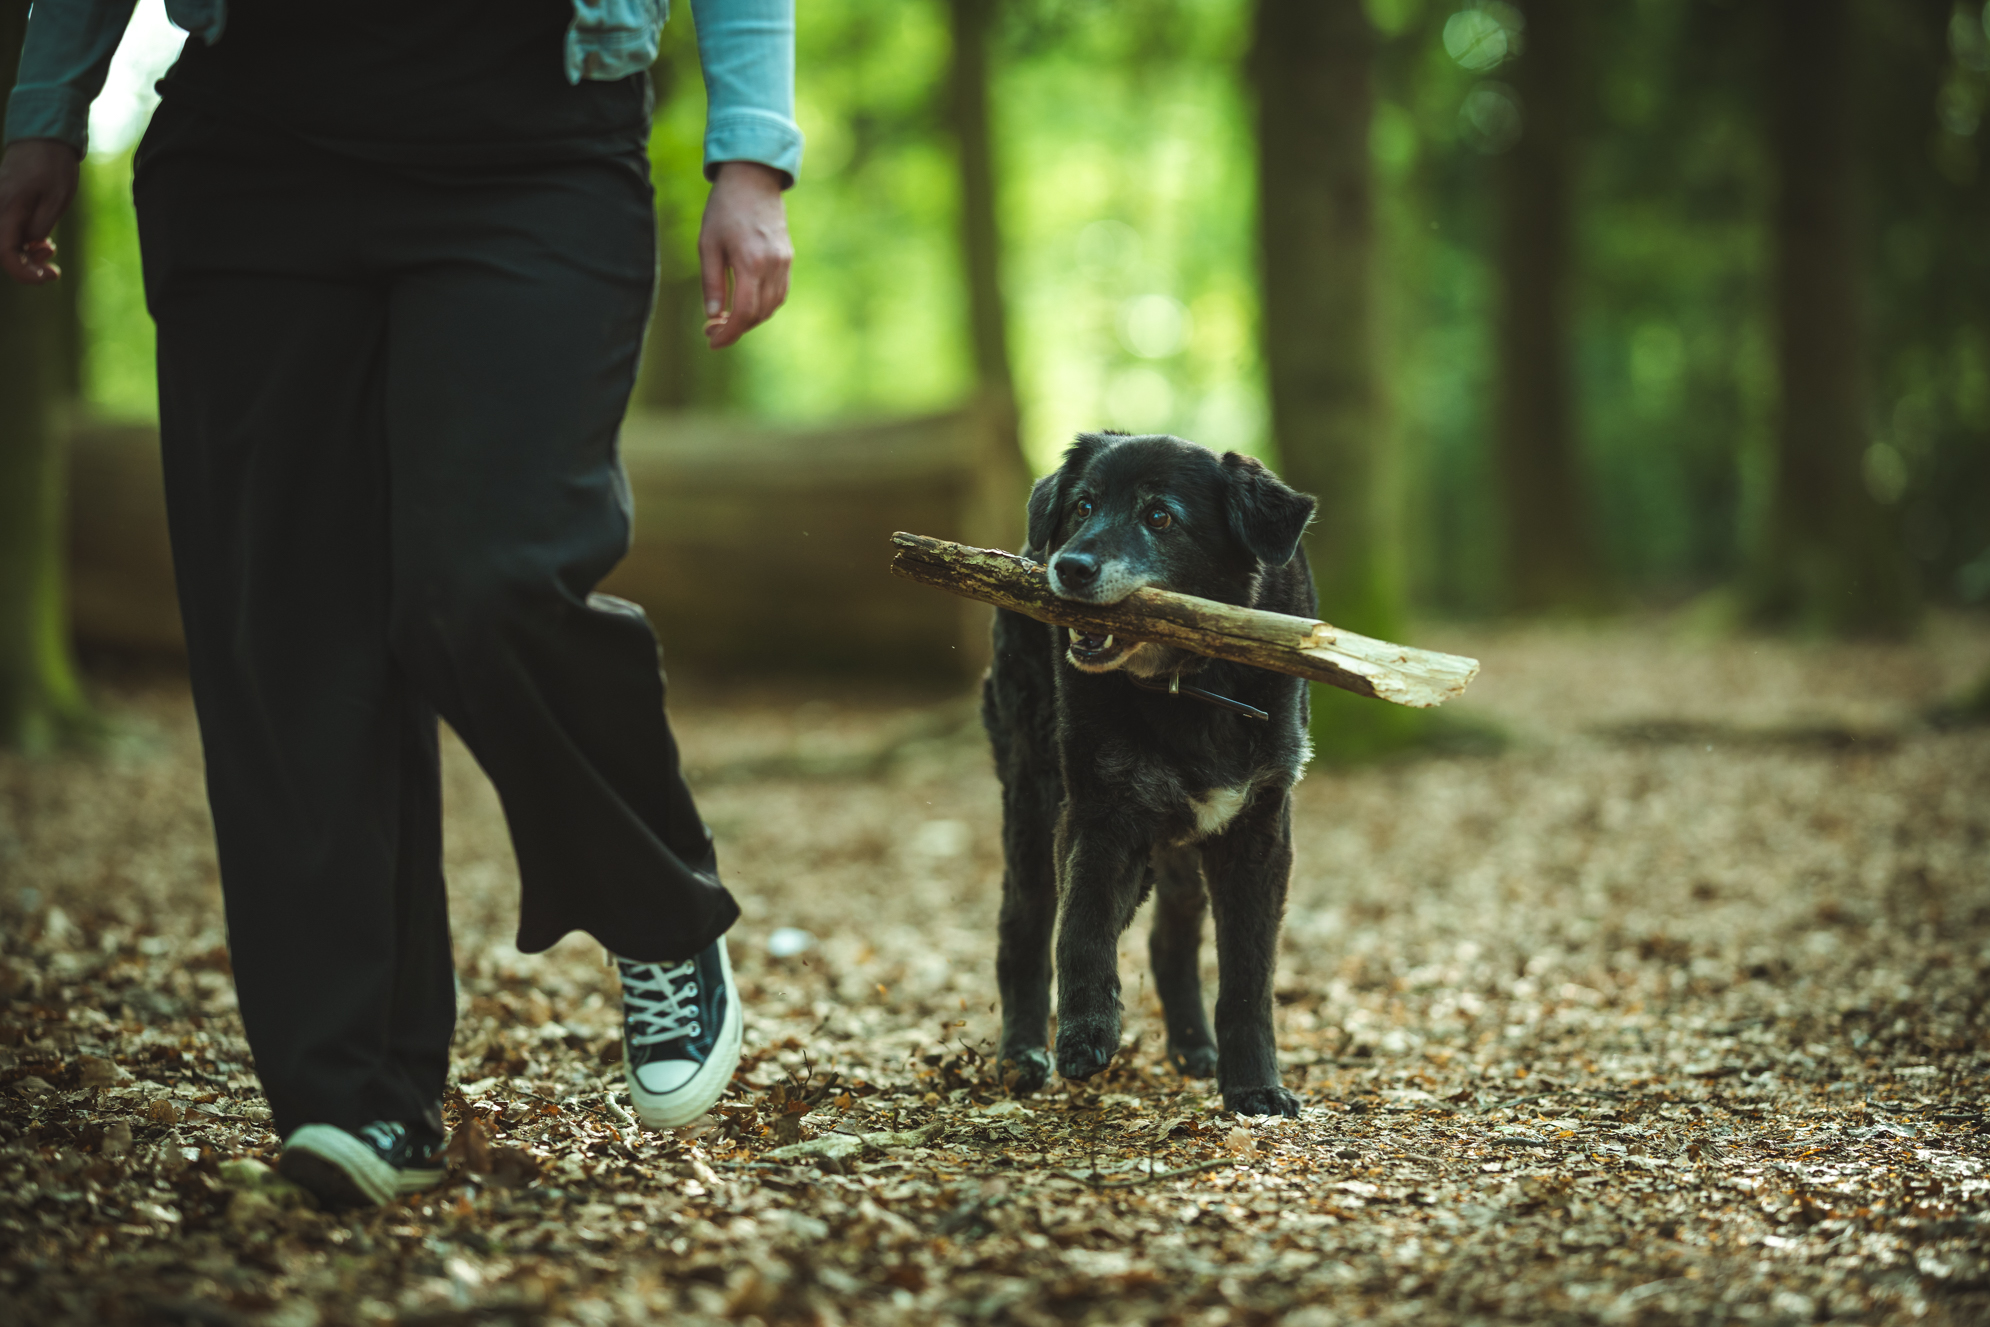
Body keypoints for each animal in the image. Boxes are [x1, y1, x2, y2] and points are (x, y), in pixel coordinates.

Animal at [983, 431, 1321, 1114]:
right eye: (1082, 507)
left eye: (1160, 516)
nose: (1069, 567)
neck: (1191, 686)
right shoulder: (1098, 811)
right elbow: (1081, 926)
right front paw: (1085, 1033)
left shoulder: (1257, 832)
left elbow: (1248, 976)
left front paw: (1254, 1087)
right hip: (1032, 797)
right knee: (1024, 922)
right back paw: (1022, 1053)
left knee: (1170, 939)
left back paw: (1193, 1048)